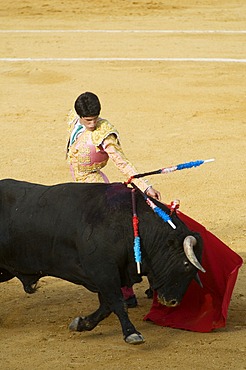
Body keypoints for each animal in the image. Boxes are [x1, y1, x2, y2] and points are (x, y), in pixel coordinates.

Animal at [0, 179, 205, 344]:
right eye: (186, 265)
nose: (173, 302)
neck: (128, 224)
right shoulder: (103, 271)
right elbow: (117, 302)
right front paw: (132, 333)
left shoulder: (110, 275)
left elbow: (106, 306)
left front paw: (81, 323)